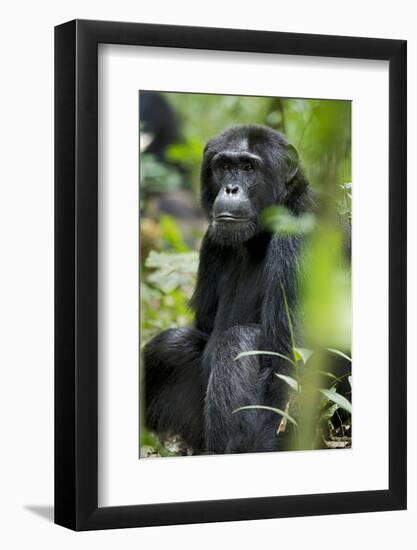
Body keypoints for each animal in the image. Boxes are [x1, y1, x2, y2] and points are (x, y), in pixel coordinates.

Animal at [143, 126, 312, 458]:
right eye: (223, 167)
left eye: (248, 167)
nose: (231, 188)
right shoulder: (211, 241)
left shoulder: (298, 242)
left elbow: (288, 371)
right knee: (171, 345)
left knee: (238, 342)